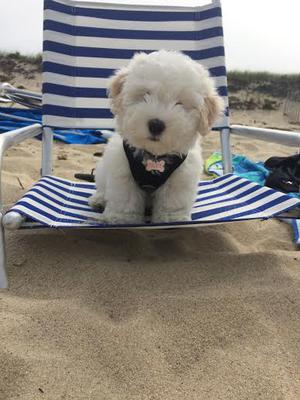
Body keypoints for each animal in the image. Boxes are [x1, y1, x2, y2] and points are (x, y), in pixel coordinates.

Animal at [88, 49, 224, 223]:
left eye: (180, 103)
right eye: (146, 94)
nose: (156, 125)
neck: (154, 156)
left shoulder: (180, 178)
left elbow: (172, 202)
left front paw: (172, 220)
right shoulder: (122, 171)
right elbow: (125, 199)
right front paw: (122, 220)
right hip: (103, 170)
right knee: (102, 187)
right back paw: (98, 199)